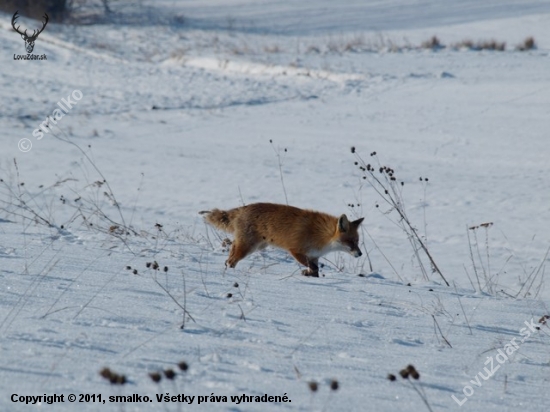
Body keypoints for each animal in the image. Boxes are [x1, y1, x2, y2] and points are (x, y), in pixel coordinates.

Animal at [201, 203, 364, 276]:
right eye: (351, 242)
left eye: (357, 241)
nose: (360, 254)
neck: (321, 235)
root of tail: (243, 208)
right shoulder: (296, 251)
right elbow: (313, 268)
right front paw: (307, 274)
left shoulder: (314, 256)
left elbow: (315, 271)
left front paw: (309, 276)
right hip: (248, 247)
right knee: (232, 260)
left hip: (256, 246)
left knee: (231, 252)